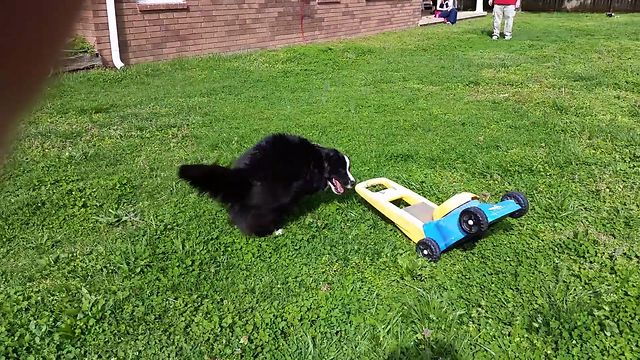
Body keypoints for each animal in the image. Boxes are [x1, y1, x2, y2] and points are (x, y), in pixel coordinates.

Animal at [176, 132, 356, 236]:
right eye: (341, 170)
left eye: (348, 168)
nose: (353, 182)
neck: (317, 160)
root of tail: (243, 175)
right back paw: (274, 230)